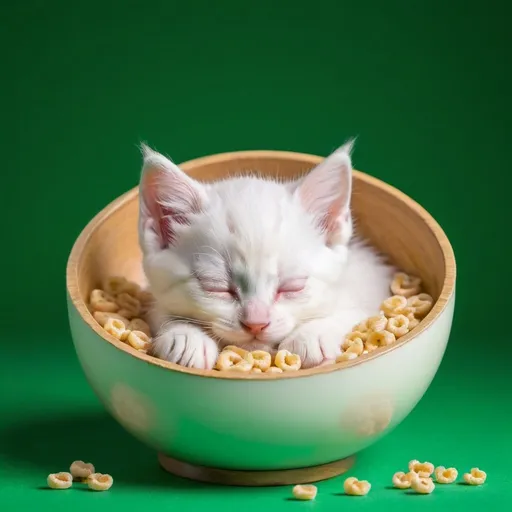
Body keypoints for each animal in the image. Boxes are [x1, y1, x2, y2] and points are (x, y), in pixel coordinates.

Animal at [138, 142, 394, 370]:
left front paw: (311, 335)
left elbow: (352, 312)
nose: (256, 323)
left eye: (293, 286)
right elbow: (161, 312)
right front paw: (185, 337)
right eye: (216, 287)